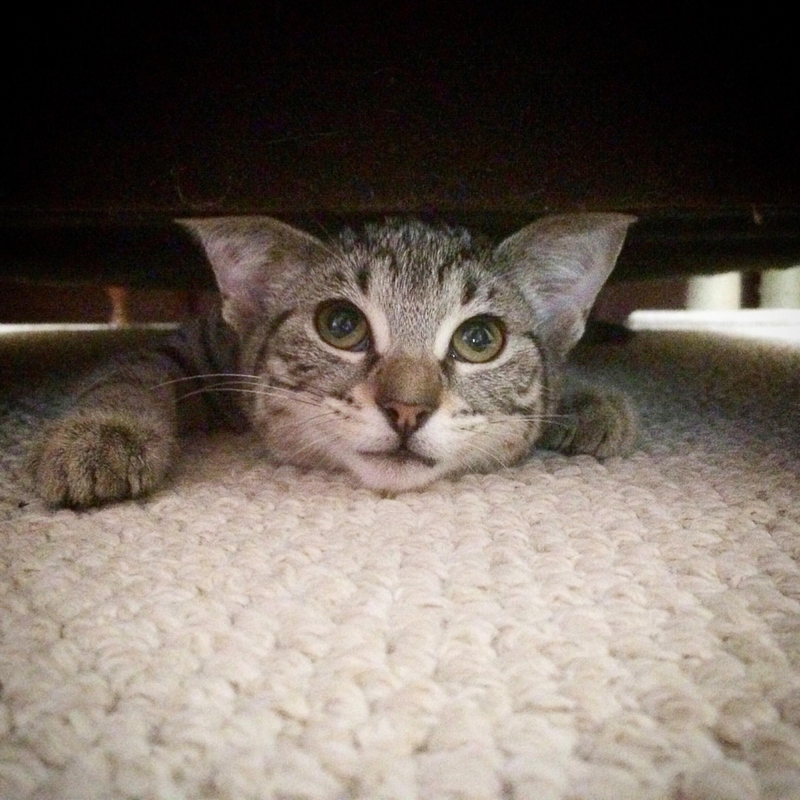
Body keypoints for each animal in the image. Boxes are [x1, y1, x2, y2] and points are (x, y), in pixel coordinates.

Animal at [28, 212, 636, 506]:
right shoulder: (195, 342)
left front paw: (586, 400)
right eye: (340, 327)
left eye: (480, 340)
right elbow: (130, 373)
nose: (407, 410)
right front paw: (102, 436)